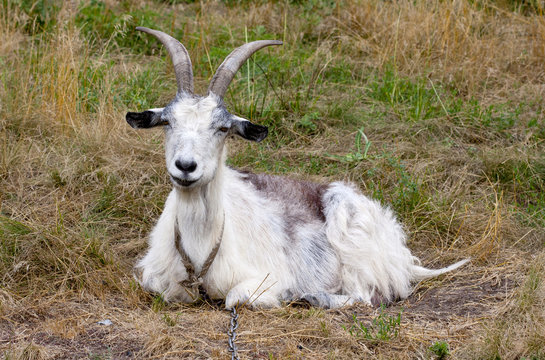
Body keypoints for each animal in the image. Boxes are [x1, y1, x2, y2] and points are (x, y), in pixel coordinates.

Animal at [127, 27, 468, 310]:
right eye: (167, 122)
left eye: (223, 128)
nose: (186, 166)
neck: (200, 251)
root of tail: (400, 253)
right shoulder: (156, 275)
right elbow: (159, 287)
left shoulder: (265, 277)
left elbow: (235, 298)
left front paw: (286, 294)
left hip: (349, 230)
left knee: (365, 296)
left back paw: (314, 296)